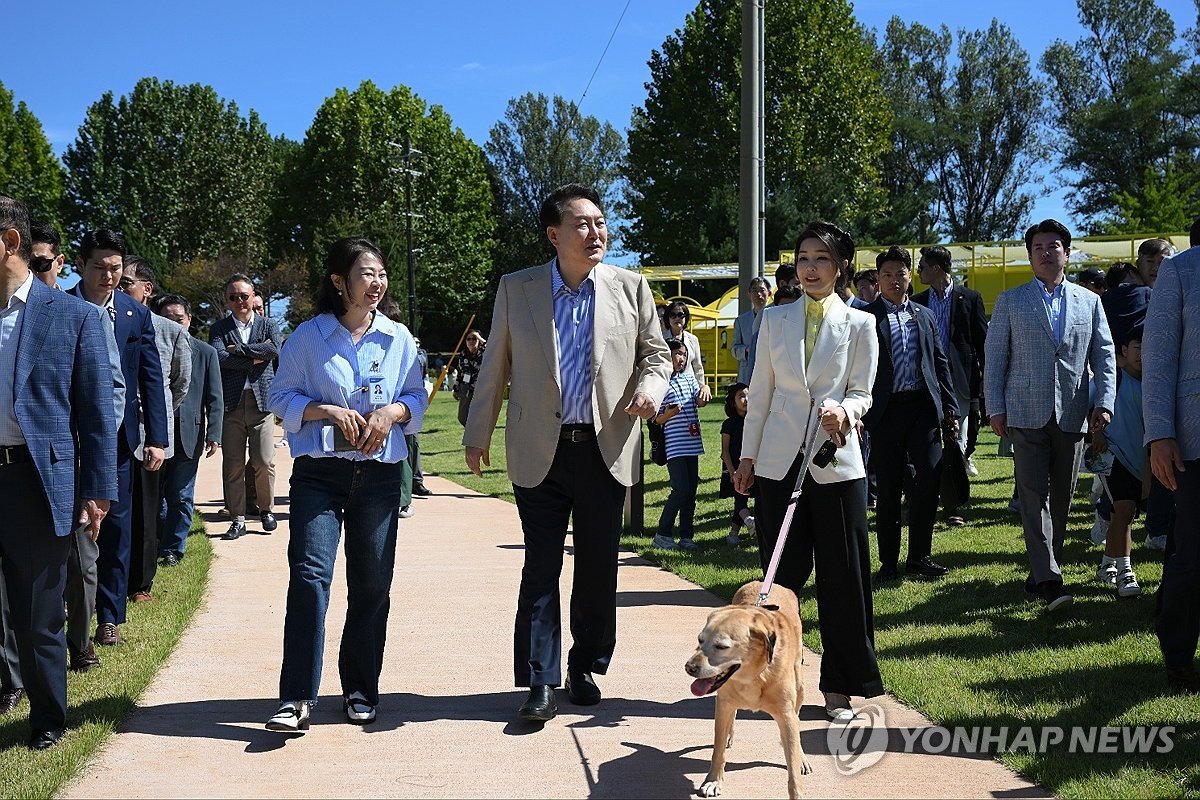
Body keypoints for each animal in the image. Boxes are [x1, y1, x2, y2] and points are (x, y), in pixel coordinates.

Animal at [691, 582, 811, 800]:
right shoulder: (723, 704)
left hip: (800, 686)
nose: (689, 667)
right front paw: (713, 781)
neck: (754, 676)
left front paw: (797, 791)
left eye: (722, 646)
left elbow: (792, 764)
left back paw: (803, 758)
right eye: (700, 640)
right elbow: (718, 750)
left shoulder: (786, 715)